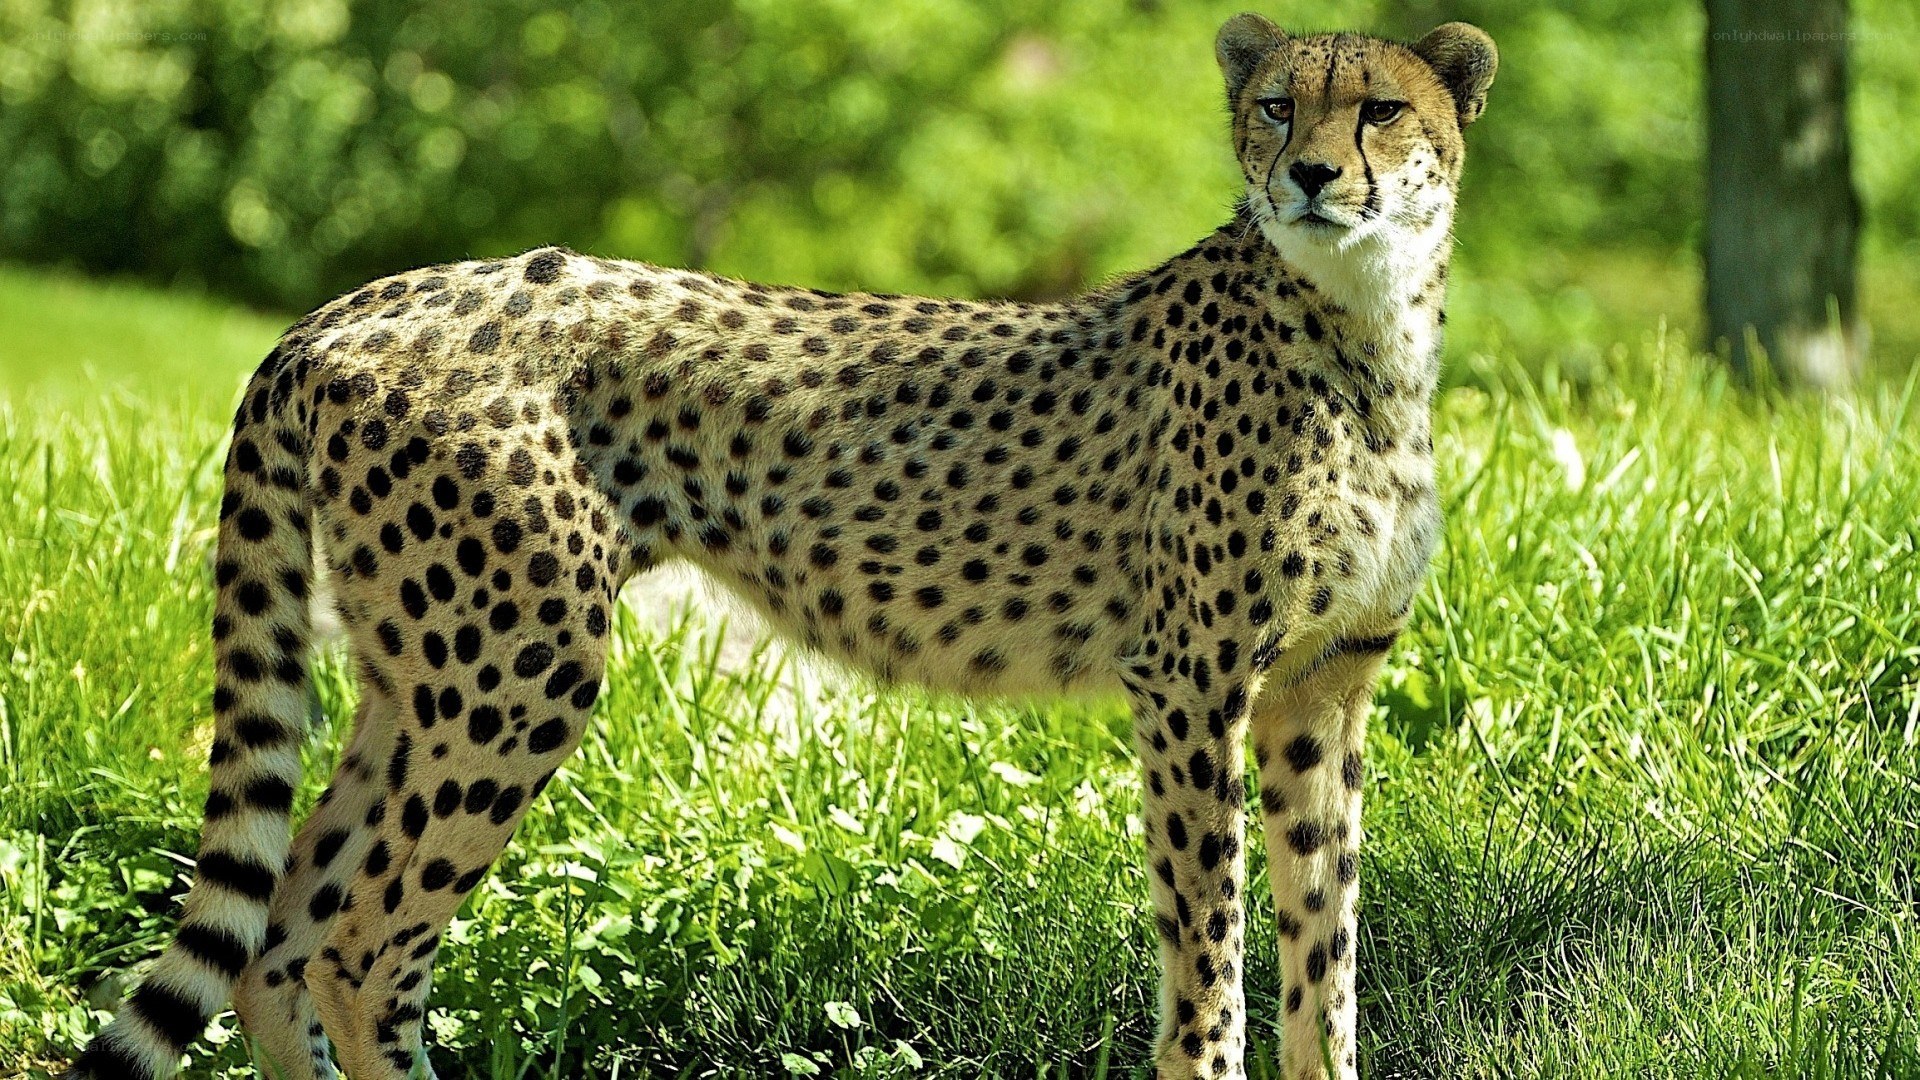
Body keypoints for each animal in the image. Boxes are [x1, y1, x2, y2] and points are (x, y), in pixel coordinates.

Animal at [66, 14, 1495, 1080]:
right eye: (1276, 107)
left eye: (1380, 111)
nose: (1310, 176)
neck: (1364, 330)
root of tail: (353, 303)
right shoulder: (1192, 681)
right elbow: (1212, 948)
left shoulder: (1321, 687)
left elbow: (1325, 946)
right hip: (516, 669)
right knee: (360, 950)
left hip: (417, 674)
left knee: (279, 934)